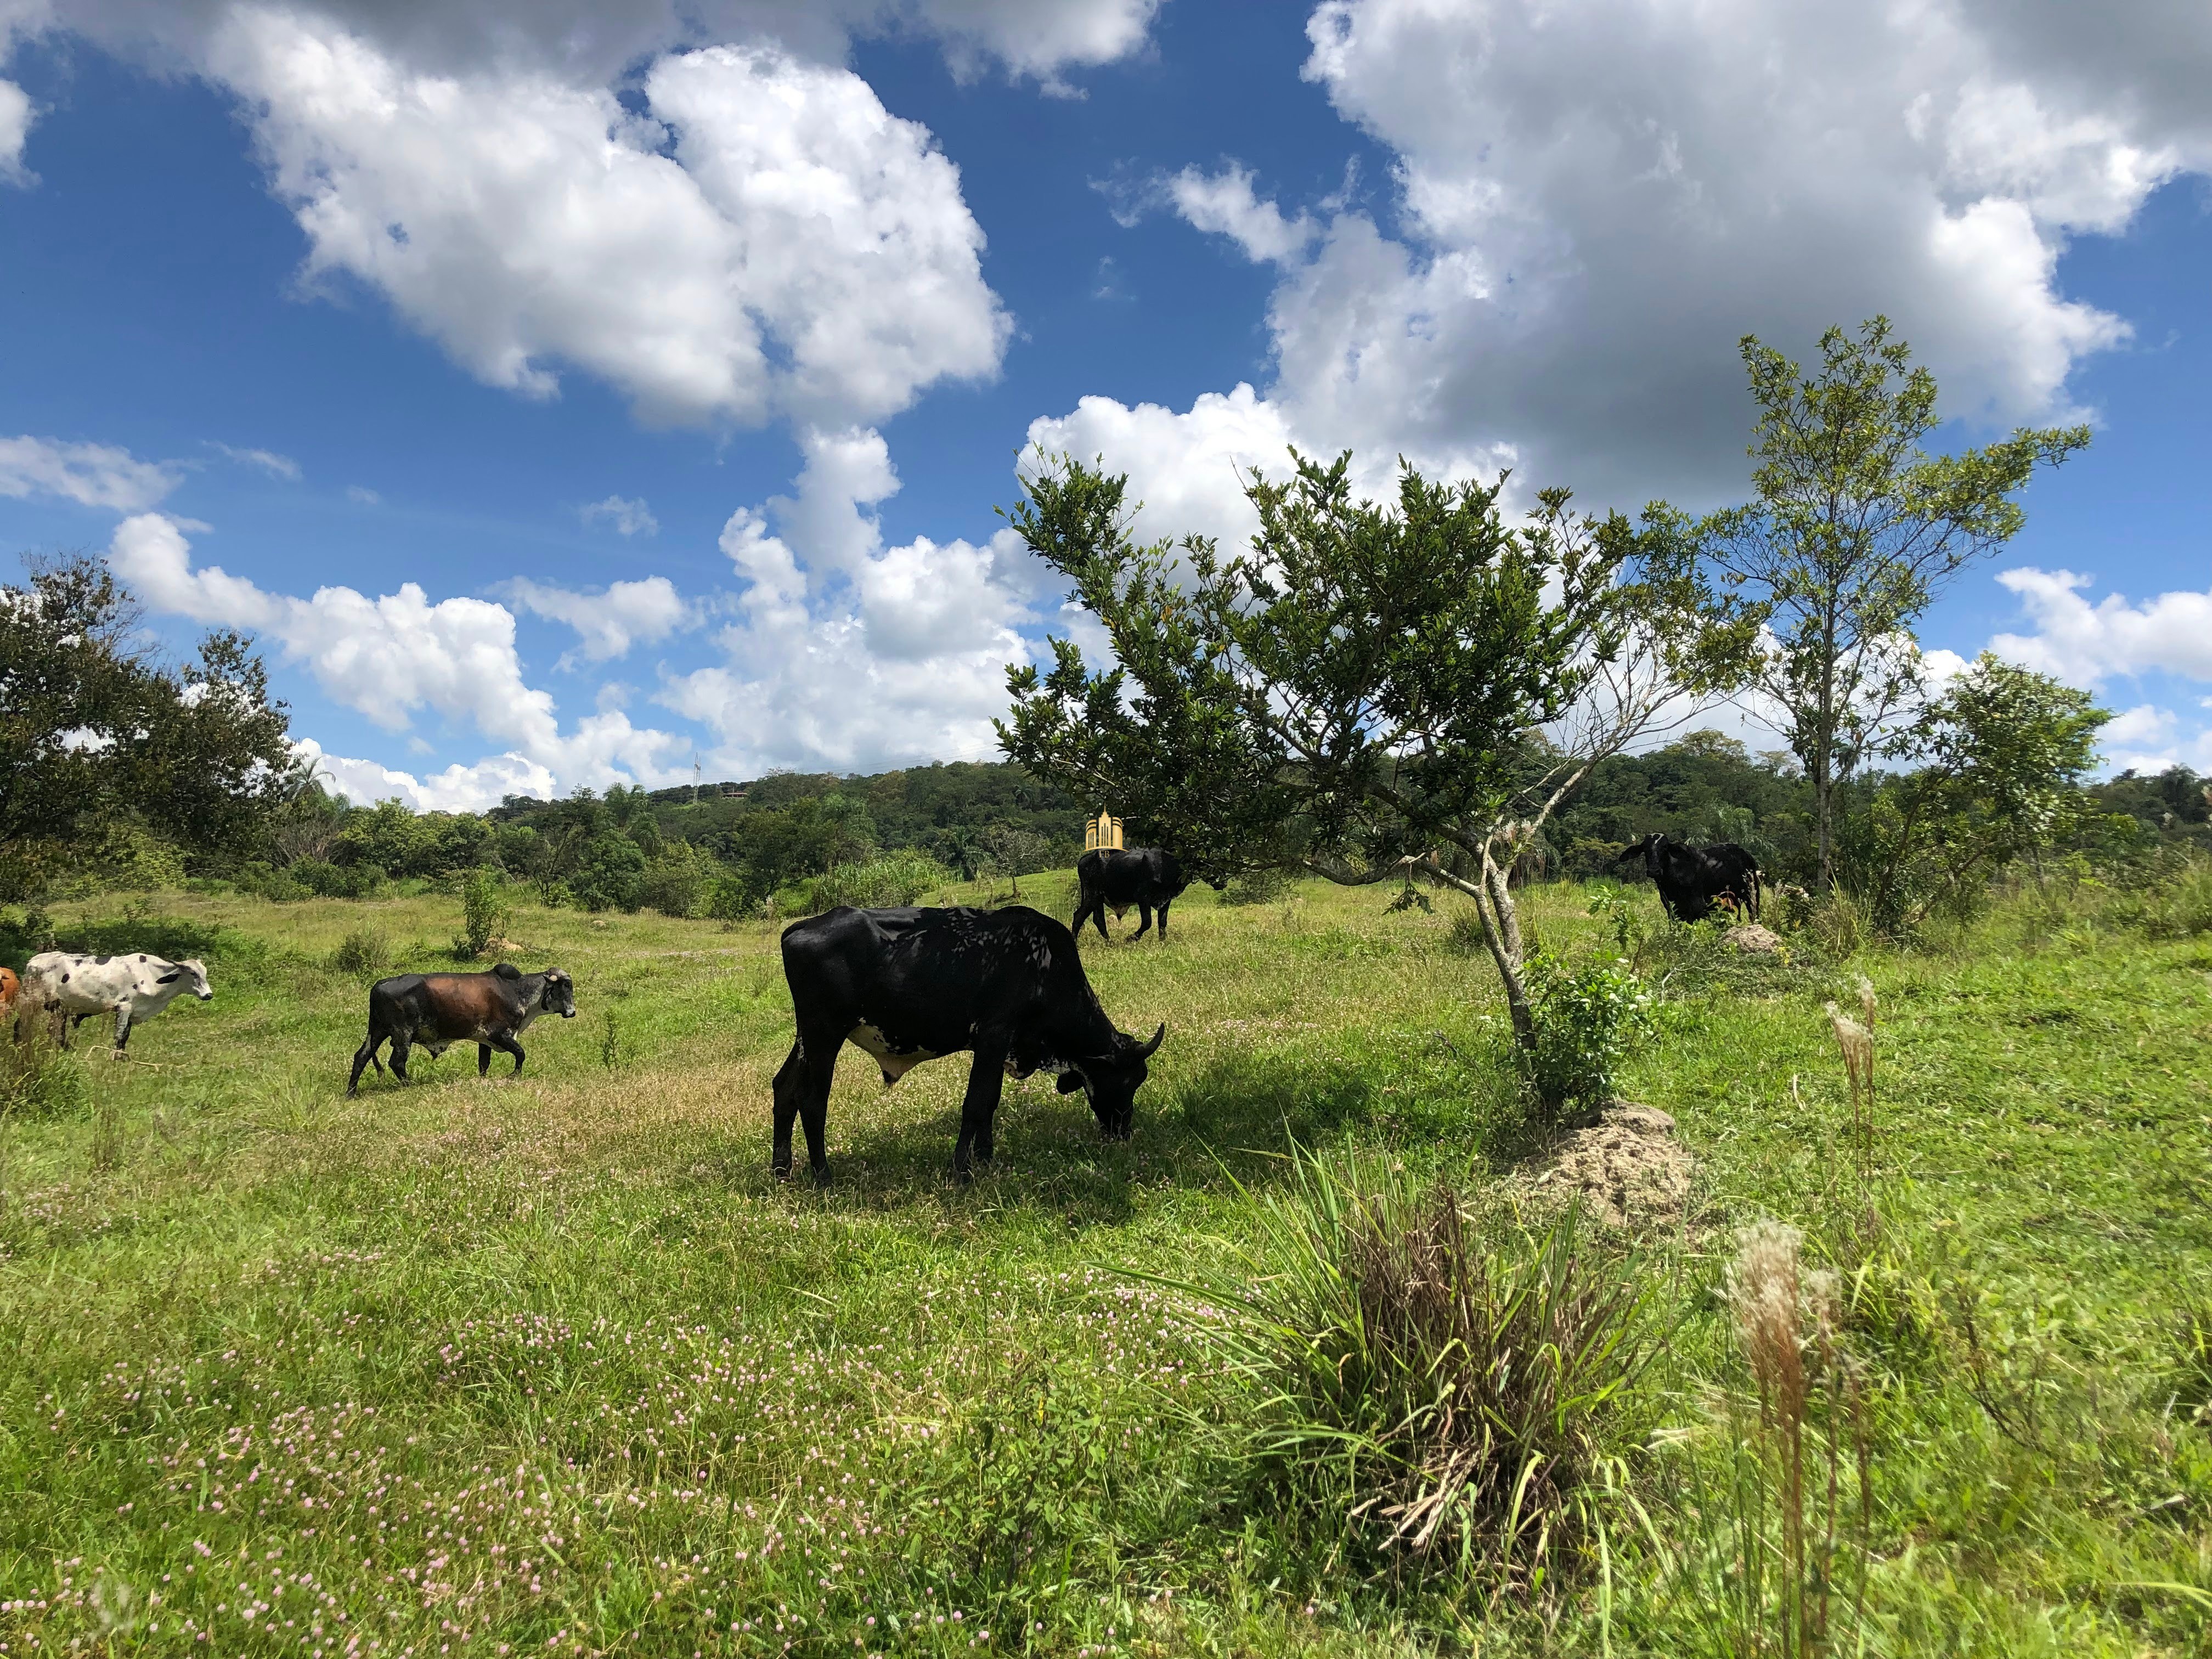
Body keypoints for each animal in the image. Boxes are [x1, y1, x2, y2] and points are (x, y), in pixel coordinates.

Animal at [347, 969, 579, 1097]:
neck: (518, 991)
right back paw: (409, 1086)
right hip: (402, 1035)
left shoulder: (484, 1040)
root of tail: (379, 985)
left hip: (377, 1031)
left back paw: (351, 1093)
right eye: (566, 986)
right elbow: (521, 1054)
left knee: (361, 1057)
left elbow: (484, 1064)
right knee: (397, 1062)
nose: (572, 1012)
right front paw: (514, 1075)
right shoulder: (500, 1035)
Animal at [774, 902, 1167, 1186]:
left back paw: (781, 1171)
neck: (1044, 965)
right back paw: (824, 1178)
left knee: (785, 1087)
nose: (1124, 1132)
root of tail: (802, 927)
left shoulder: (999, 1047)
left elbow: (990, 1102)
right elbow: (976, 1104)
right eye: (1130, 1080)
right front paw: (962, 1171)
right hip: (824, 1036)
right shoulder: (994, 1035)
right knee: (812, 1100)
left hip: (807, 1038)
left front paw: (985, 1158)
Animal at [1070, 849, 1194, 942]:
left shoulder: (1166, 899)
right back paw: (1110, 943)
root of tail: (1084, 859)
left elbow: (1162, 922)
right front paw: (1131, 938)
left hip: (1091, 898)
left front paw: (1162, 941)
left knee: (1079, 916)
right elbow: (1147, 922)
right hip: (1095, 895)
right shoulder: (1143, 897)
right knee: (1098, 919)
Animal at [1610, 836, 1760, 929]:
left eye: (1665, 848)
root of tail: (1745, 853)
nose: (1654, 871)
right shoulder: (1672, 910)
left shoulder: (1697, 908)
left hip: (1750, 897)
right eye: (1645, 849)